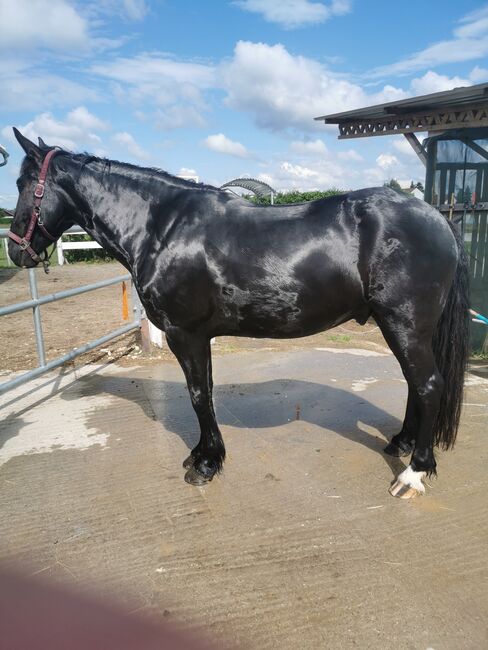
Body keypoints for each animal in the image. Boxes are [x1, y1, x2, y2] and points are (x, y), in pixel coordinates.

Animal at [7, 130, 470, 496]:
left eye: (24, 183)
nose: (14, 249)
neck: (161, 227)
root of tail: (438, 219)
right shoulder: (197, 336)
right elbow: (206, 391)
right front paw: (203, 454)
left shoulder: (185, 333)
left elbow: (198, 394)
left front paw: (206, 463)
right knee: (414, 385)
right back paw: (401, 443)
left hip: (404, 324)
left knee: (428, 385)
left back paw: (413, 473)